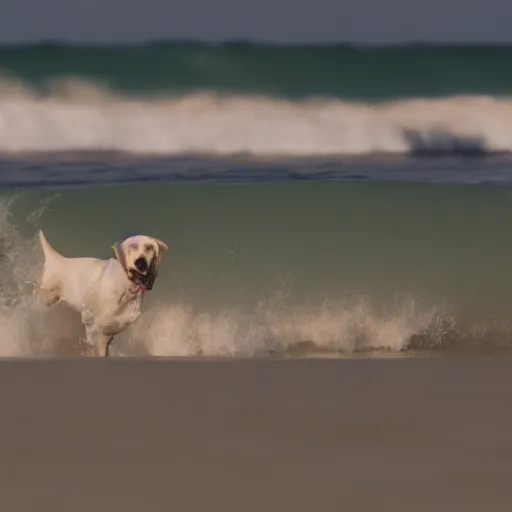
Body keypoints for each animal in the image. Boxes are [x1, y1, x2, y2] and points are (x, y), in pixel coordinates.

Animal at [37, 231, 168, 356]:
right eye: (132, 246)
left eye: (149, 247)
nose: (141, 263)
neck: (126, 289)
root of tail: (58, 258)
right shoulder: (95, 327)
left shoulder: (107, 333)